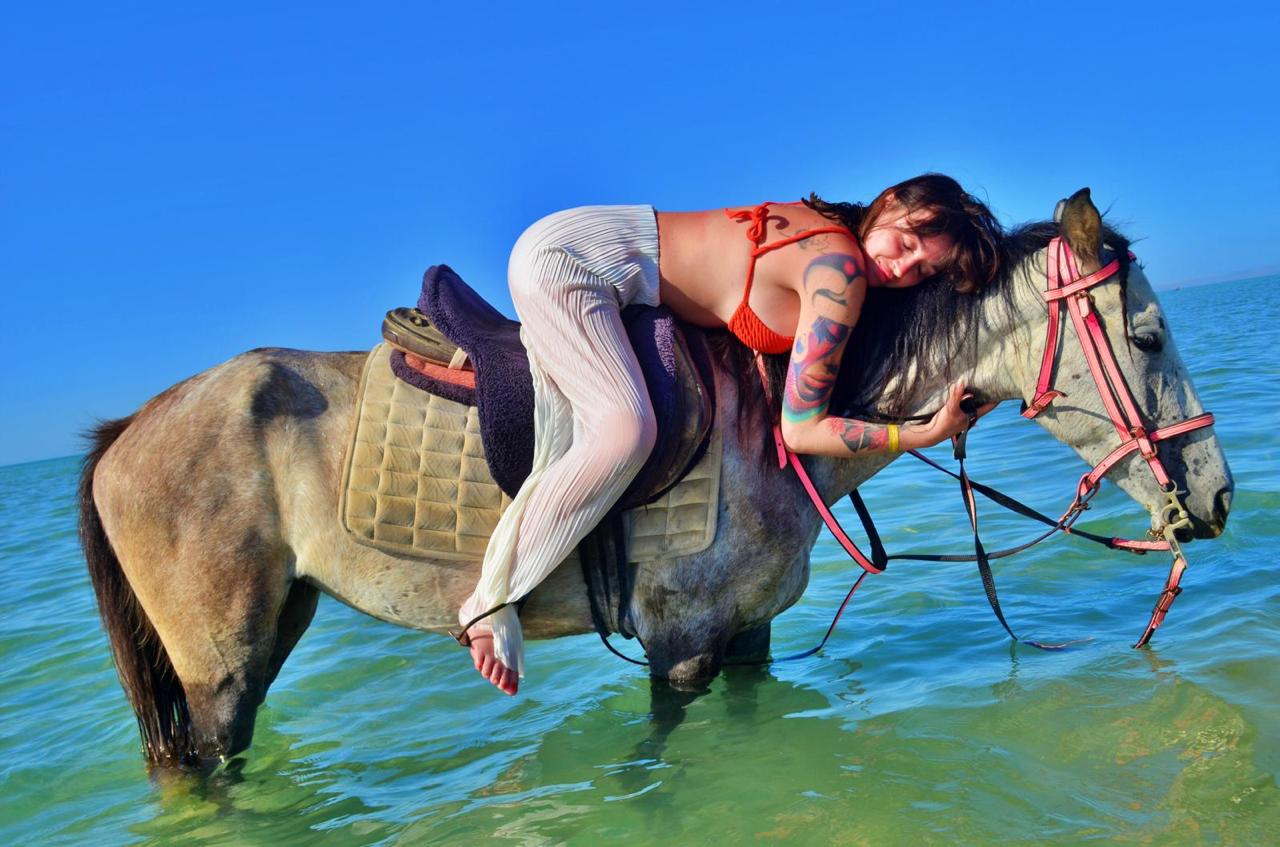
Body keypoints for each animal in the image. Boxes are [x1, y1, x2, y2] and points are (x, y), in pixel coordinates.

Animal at [78, 191, 1232, 770]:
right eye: (1145, 333)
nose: (1218, 496)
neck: (776, 423)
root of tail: (132, 428)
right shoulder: (679, 645)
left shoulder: (746, 635)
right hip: (219, 671)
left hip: (273, 628)